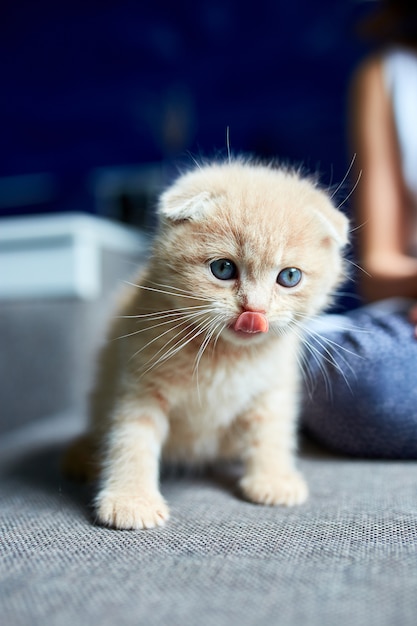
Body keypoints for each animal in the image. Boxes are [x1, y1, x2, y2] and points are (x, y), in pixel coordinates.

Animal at [62, 160, 348, 528]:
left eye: (289, 277)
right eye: (223, 268)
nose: (254, 311)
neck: (225, 354)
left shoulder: (273, 386)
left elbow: (271, 431)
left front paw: (273, 480)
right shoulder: (140, 382)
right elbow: (131, 437)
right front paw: (131, 500)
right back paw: (82, 456)